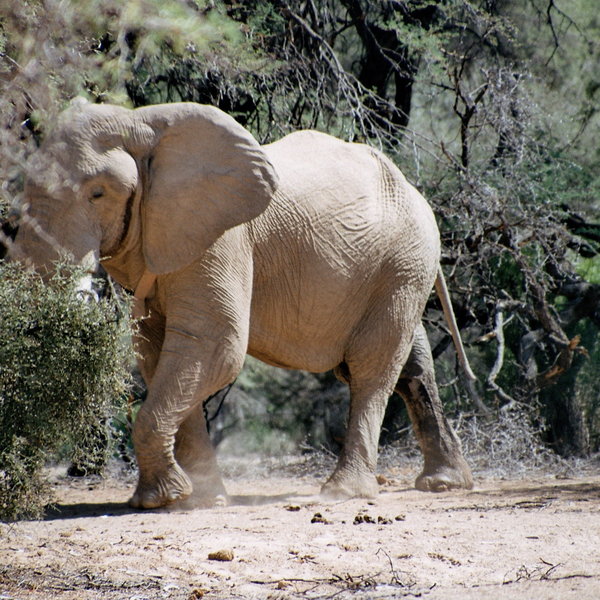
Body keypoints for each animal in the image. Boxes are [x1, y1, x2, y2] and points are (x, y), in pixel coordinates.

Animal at [11, 98, 476, 506]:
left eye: (98, 194)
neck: (140, 122)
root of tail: (414, 189)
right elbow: (159, 352)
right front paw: (199, 499)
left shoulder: (220, 238)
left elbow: (213, 345)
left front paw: (163, 500)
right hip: (401, 267)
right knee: (411, 360)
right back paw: (445, 483)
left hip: (404, 258)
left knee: (371, 365)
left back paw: (344, 493)